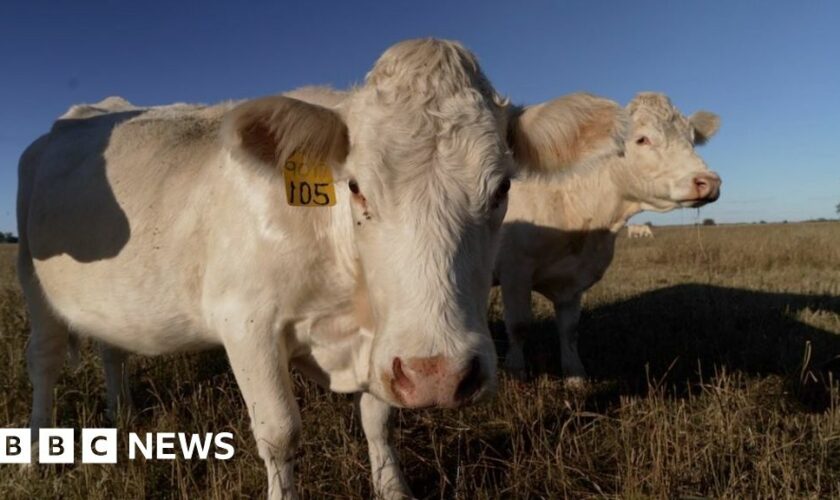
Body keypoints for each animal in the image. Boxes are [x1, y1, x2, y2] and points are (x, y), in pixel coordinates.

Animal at [16, 40, 628, 500]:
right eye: (355, 186)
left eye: (502, 188)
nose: (438, 375)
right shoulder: (246, 324)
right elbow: (280, 433)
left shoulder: (382, 345)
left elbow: (379, 419)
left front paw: (392, 489)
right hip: (33, 283)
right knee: (43, 362)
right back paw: (39, 454)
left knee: (111, 348)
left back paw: (118, 418)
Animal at [498, 93, 720, 382]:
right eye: (642, 139)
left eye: (692, 139)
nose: (708, 182)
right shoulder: (514, 270)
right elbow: (519, 325)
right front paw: (515, 373)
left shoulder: (572, 281)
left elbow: (569, 329)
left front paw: (575, 375)